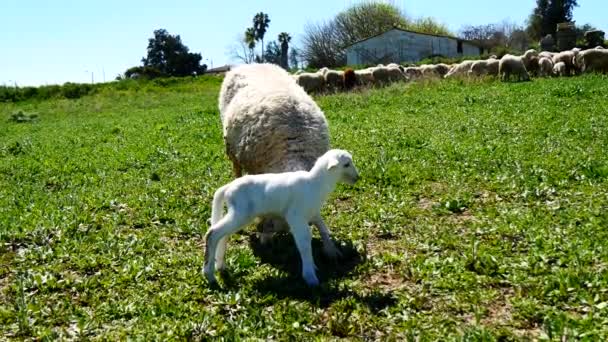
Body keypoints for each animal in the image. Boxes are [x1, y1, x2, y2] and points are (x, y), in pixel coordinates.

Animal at [204, 149, 358, 286]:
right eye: (346, 164)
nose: (358, 178)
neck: (316, 183)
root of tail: (228, 187)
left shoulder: (312, 212)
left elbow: (323, 229)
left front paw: (325, 257)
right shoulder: (296, 216)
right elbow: (304, 243)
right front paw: (310, 276)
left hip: (238, 214)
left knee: (222, 235)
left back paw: (220, 265)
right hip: (241, 213)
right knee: (213, 233)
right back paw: (209, 274)